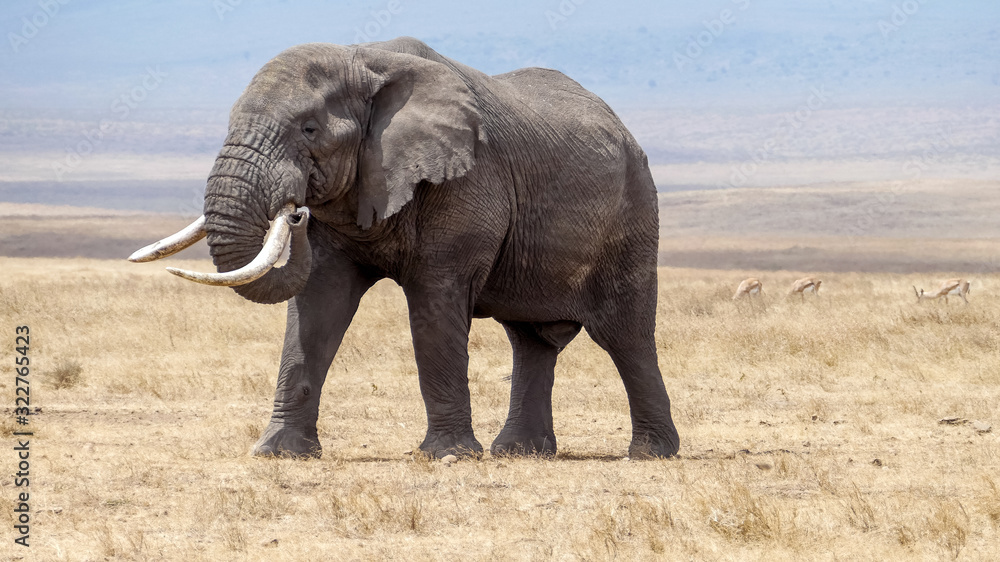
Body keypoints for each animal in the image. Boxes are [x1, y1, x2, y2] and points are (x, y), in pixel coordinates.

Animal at [130, 37, 679, 459]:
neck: (363, 61)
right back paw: (519, 452)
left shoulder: (465, 182)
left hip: (634, 216)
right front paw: (277, 453)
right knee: (531, 340)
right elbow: (317, 307)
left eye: (309, 129)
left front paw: (449, 457)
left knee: (624, 335)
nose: (296, 212)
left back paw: (650, 453)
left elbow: (434, 307)